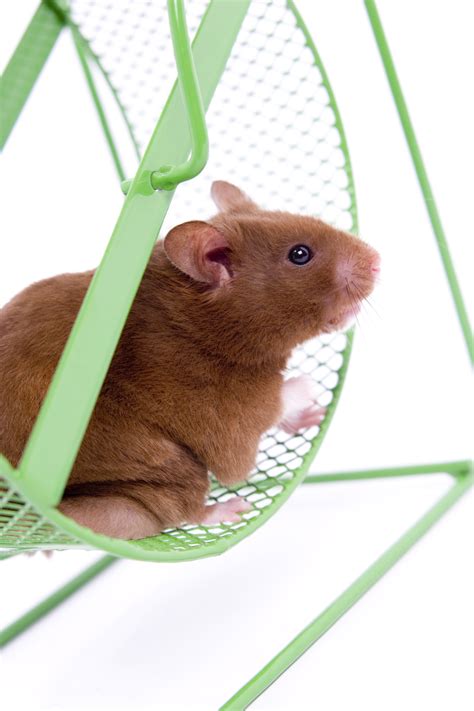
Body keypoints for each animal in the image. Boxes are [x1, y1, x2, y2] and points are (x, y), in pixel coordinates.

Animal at [0, 181, 380, 539]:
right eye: (300, 254)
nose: (378, 259)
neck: (197, 322)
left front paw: (315, 416)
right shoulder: (226, 415)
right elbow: (271, 409)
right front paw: (310, 387)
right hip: (171, 468)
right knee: (180, 512)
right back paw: (231, 509)